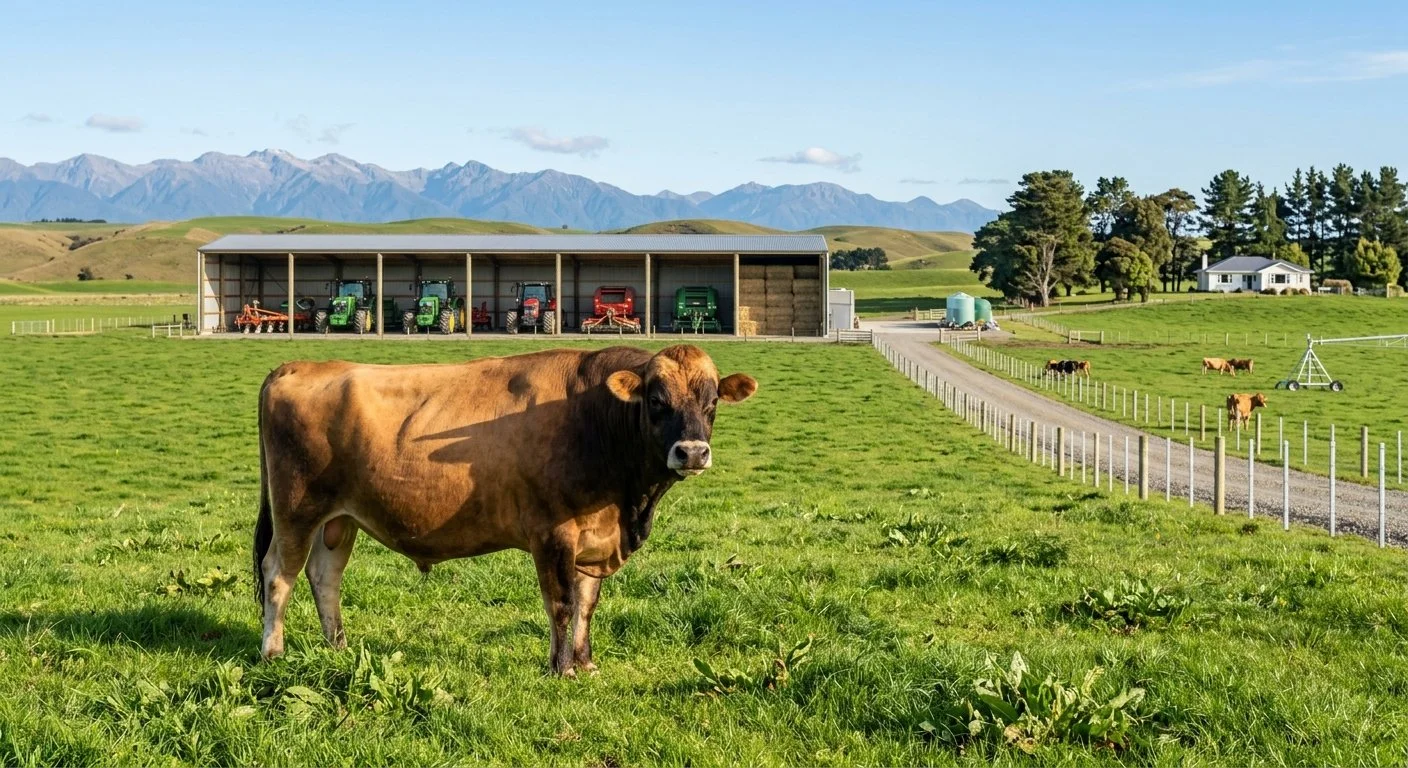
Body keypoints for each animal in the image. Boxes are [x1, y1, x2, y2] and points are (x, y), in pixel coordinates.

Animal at [253, 344, 757, 677]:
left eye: (712, 401)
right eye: (656, 400)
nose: (692, 452)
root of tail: (295, 365)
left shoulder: (594, 539)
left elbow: (587, 605)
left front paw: (585, 663)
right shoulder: (553, 533)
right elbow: (561, 604)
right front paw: (560, 670)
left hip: (339, 518)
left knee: (325, 577)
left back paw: (337, 648)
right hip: (297, 508)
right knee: (278, 574)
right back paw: (273, 653)